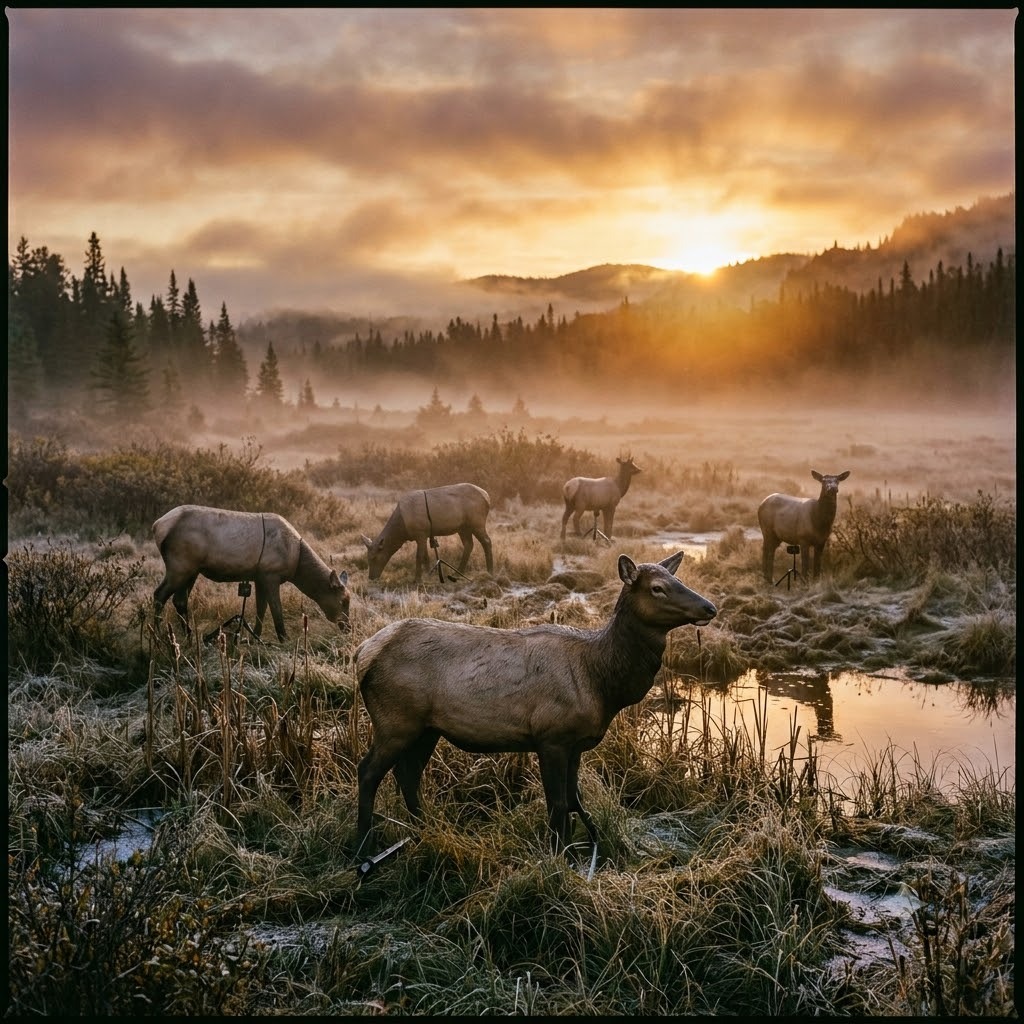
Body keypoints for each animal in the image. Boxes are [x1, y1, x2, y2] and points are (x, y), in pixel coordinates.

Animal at [153, 505, 350, 641]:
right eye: (343, 601)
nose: (348, 627)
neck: (297, 563)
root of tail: (157, 526)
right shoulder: (271, 575)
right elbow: (276, 609)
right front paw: (283, 638)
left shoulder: (259, 577)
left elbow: (260, 608)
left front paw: (255, 636)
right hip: (179, 567)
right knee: (159, 595)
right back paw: (157, 637)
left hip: (191, 570)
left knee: (180, 600)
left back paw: (188, 636)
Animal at [353, 550, 716, 856]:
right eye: (657, 588)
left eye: (678, 581)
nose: (709, 607)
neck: (601, 683)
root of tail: (362, 654)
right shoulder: (551, 735)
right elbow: (557, 802)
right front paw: (558, 854)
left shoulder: (575, 743)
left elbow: (573, 799)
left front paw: (584, 844)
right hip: (395, 720)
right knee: (368, 771)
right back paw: (363, 844)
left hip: (427, 728)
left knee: (408, 774)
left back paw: (424, 828)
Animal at [361, 482, 493, 584]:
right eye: (367, 558)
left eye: (374, 557)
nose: (371, 578)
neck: (402, 530)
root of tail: (487, 497)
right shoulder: (424, 535)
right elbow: (426, 556)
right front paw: (428, 573)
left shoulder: (420, 533)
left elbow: (419, 556)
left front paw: (417, 579)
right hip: (463, 528)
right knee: (468, 545)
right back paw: (457, 573)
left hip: (477, 522)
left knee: (487, 541)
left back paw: (490, 571)